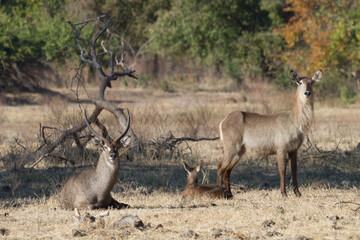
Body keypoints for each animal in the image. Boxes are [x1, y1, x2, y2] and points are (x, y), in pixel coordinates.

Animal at [217, 69, 324, 197]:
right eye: (300, 82)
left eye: (312, 82)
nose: (307, 93)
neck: (294, 121)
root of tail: (223, 120)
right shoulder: (281, 149)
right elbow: (282, 169)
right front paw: (284, 193)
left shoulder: (293, 150)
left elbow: (294, 170)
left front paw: (298, 193)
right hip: (231, 148)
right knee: (220, 168)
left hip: (239, 152)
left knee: (227, 170)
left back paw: (230, 194)